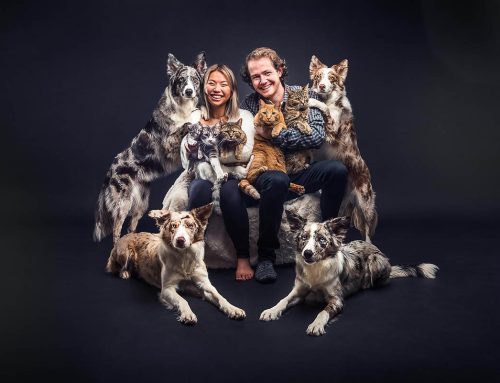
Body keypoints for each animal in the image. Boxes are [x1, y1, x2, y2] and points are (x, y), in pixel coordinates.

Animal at [94, 52, 206, 244]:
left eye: (194, 80)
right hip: (123, 203)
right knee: (117, 229)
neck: (182, 107)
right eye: (181, 80)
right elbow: (186, 124)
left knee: (131, 226)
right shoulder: (169, 142)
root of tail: (110, 169)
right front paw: (194, 119)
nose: (189, 91)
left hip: (141, 205)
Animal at [105, 202, 246, 326]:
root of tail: (128, 235)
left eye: (190, 226)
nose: (180, 240)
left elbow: (220, 297)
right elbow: (183, 300)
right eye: (173, 226)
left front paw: (233, 309)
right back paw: (125, 273)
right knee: (119, 267)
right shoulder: (167, 289)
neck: (185, 258)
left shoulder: (205, 284)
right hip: (124, 252)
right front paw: (188, 314)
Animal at [260, 213, 440, 336]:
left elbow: (323, 311)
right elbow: (283, 300)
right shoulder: (298, 291)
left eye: (321, 240)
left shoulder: (337, 301)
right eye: (303, 238)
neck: (316, 270)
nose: (307, 253)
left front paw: (316, 324)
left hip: (376, 261)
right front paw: (271, 310)